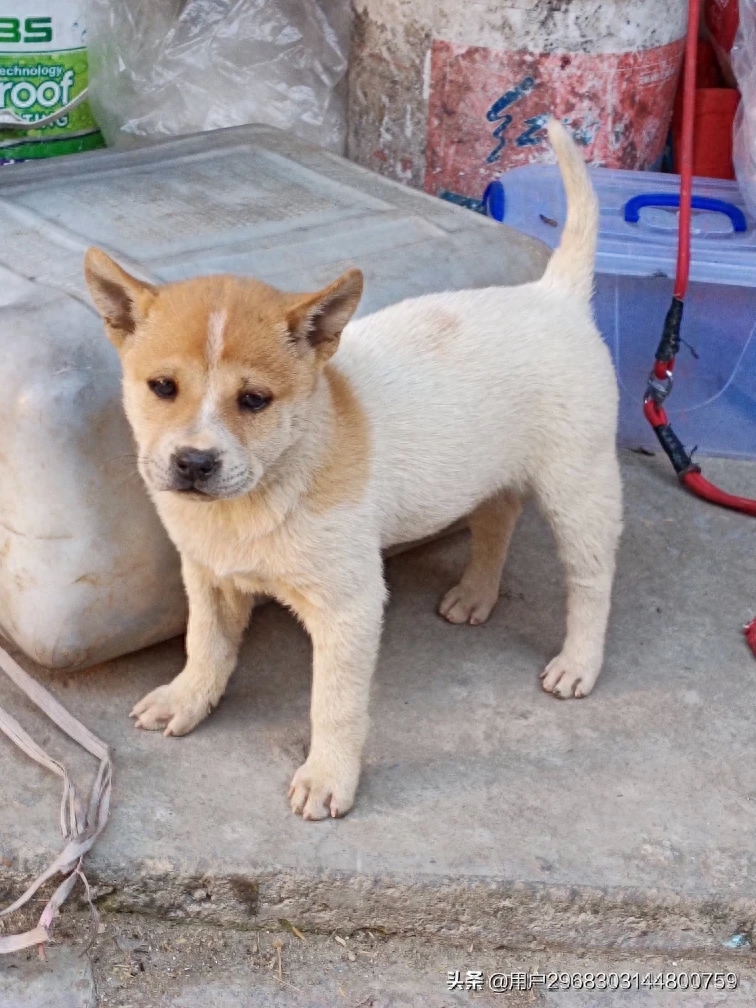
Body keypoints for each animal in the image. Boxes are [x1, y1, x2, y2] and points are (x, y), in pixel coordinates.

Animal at [85, 121, 624, 822]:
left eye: (254, 400)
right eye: (162, 387)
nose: (194, 463)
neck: (268, 486)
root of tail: (553, 296)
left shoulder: (351, 607)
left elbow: (334, 706)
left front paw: (328, 776)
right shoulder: (209, 577)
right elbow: (205, 644)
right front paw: (188, 696)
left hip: (578, 487)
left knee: (591, 577)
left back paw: (578, 662)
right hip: (489, 471)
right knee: (498, 518)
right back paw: (476, 593)